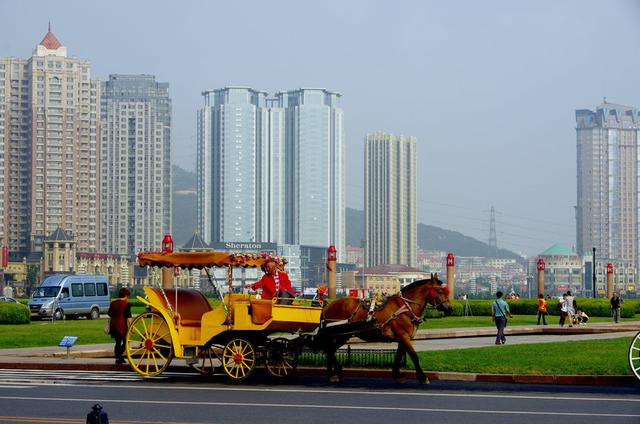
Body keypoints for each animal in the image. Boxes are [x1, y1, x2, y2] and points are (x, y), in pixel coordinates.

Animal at [318, 274, 452, 384]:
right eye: (439, 291)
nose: (450, 308)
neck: (405, 307)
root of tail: (328, 305)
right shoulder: (403, 336)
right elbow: (414, 355)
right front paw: (422, 377)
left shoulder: (402, 338)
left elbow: (399, 355)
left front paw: (397, 375)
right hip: (341, 334)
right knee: (330, 350)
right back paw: (334, 373)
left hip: (342, 334)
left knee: (329, 350)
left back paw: (333, 373)